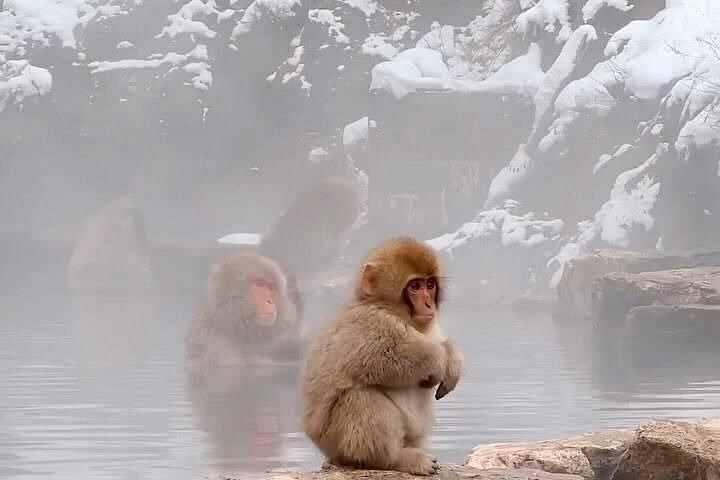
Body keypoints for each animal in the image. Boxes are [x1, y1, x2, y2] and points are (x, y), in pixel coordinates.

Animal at [302, 237, 464, 475]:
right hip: (336, 442)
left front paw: (452, 358)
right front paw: (439, 359)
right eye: (414, 286)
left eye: (429, 285)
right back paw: (395, 459)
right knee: (360, 397)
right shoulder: (368, 323)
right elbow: (381, 359)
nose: (428, 304)